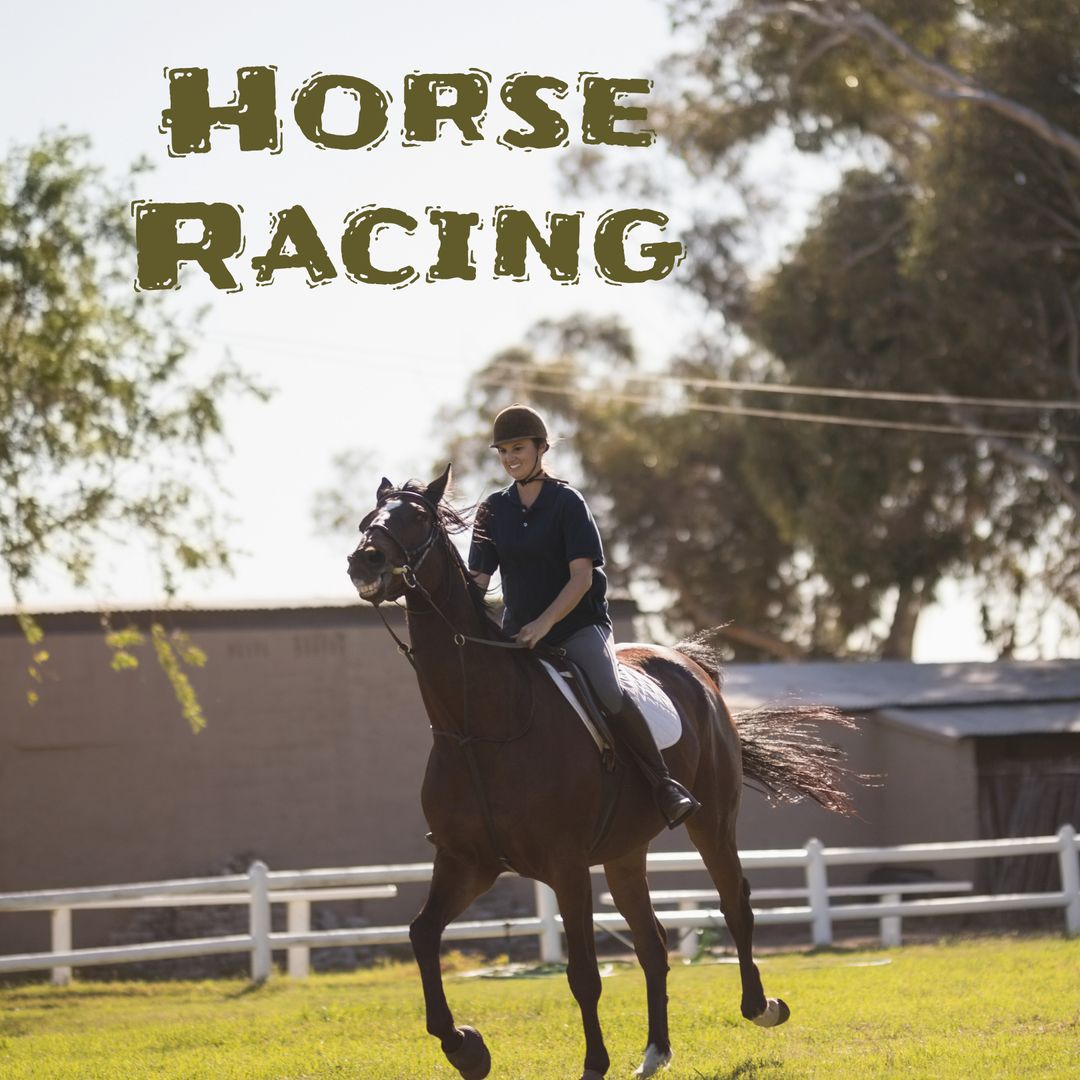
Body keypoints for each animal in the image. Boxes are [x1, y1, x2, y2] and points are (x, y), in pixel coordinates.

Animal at [347, 466, 857, 1080]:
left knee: (735, 904)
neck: (478, 724)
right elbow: (422, 935)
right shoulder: (466, 861)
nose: (364, 561)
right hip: (623, 852)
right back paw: (656, 1051)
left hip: (711, 822)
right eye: (367, 519)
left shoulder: (565, 867)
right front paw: (465, 1047)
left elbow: (584, 975)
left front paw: (592, 1063)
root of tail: (690, 665)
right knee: (653, 942)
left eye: (417, 518)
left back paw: (762, 1008)